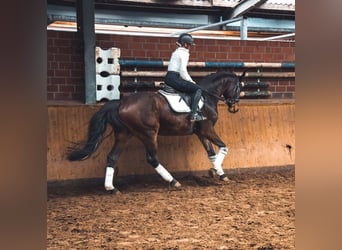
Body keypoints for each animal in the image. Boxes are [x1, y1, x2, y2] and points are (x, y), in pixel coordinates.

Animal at [67, 70, 246, 193]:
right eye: (238, 88)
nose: (235, 108)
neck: (207, 98)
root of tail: (120, 103)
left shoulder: (201, 132)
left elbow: (211, 154)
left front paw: (219, 172)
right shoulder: (208, 129)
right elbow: (223, 147)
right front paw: (216, 171)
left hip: (124, 134)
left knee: (112, 157)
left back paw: (111, 188)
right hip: (148, 133)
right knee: (152, 158)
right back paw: (173, 181)